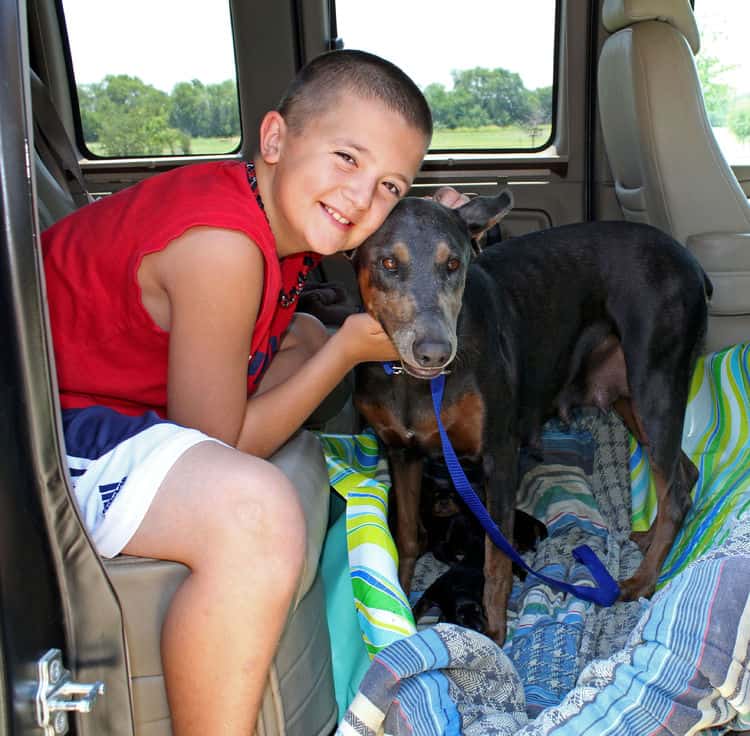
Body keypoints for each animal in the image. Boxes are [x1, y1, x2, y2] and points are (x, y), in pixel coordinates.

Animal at [356, 194, 712, 644]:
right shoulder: (401, 453)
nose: (435, 351)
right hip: (632, 397)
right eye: (388, 263)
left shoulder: (498, 455)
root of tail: (690, 261)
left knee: (675, 492)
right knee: (684, 473)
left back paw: (642, 581)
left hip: (656, 385)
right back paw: (651, 540)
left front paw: (493, 633)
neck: (413, 383)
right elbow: (405, 536)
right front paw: (399, 607)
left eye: (453, 263)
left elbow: (495, 557)